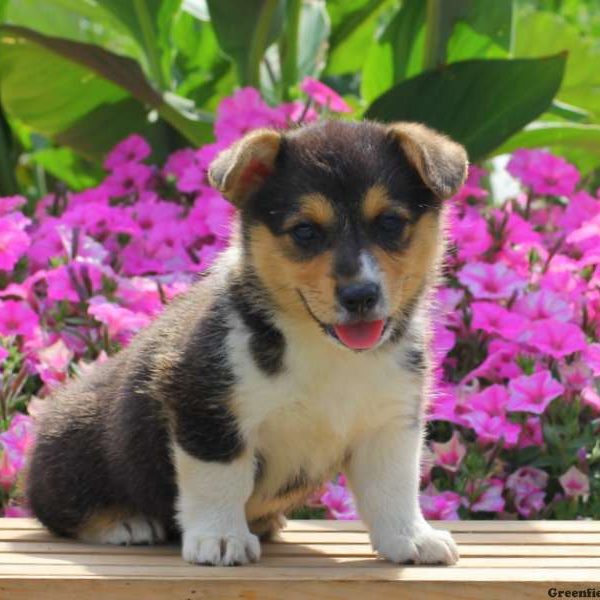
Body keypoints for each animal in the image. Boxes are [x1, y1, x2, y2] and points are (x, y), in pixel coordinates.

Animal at [27, 119, 468, 564]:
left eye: (390, 223)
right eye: (305, 231)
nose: (360, 295)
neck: (325, 349)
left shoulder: (389, 424)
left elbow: (393, 488)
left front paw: (411, 539)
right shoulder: (207, 411)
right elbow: (221, 482)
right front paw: (221, 539)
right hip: (74, 447)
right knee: (58, 508)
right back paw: (124, 523)